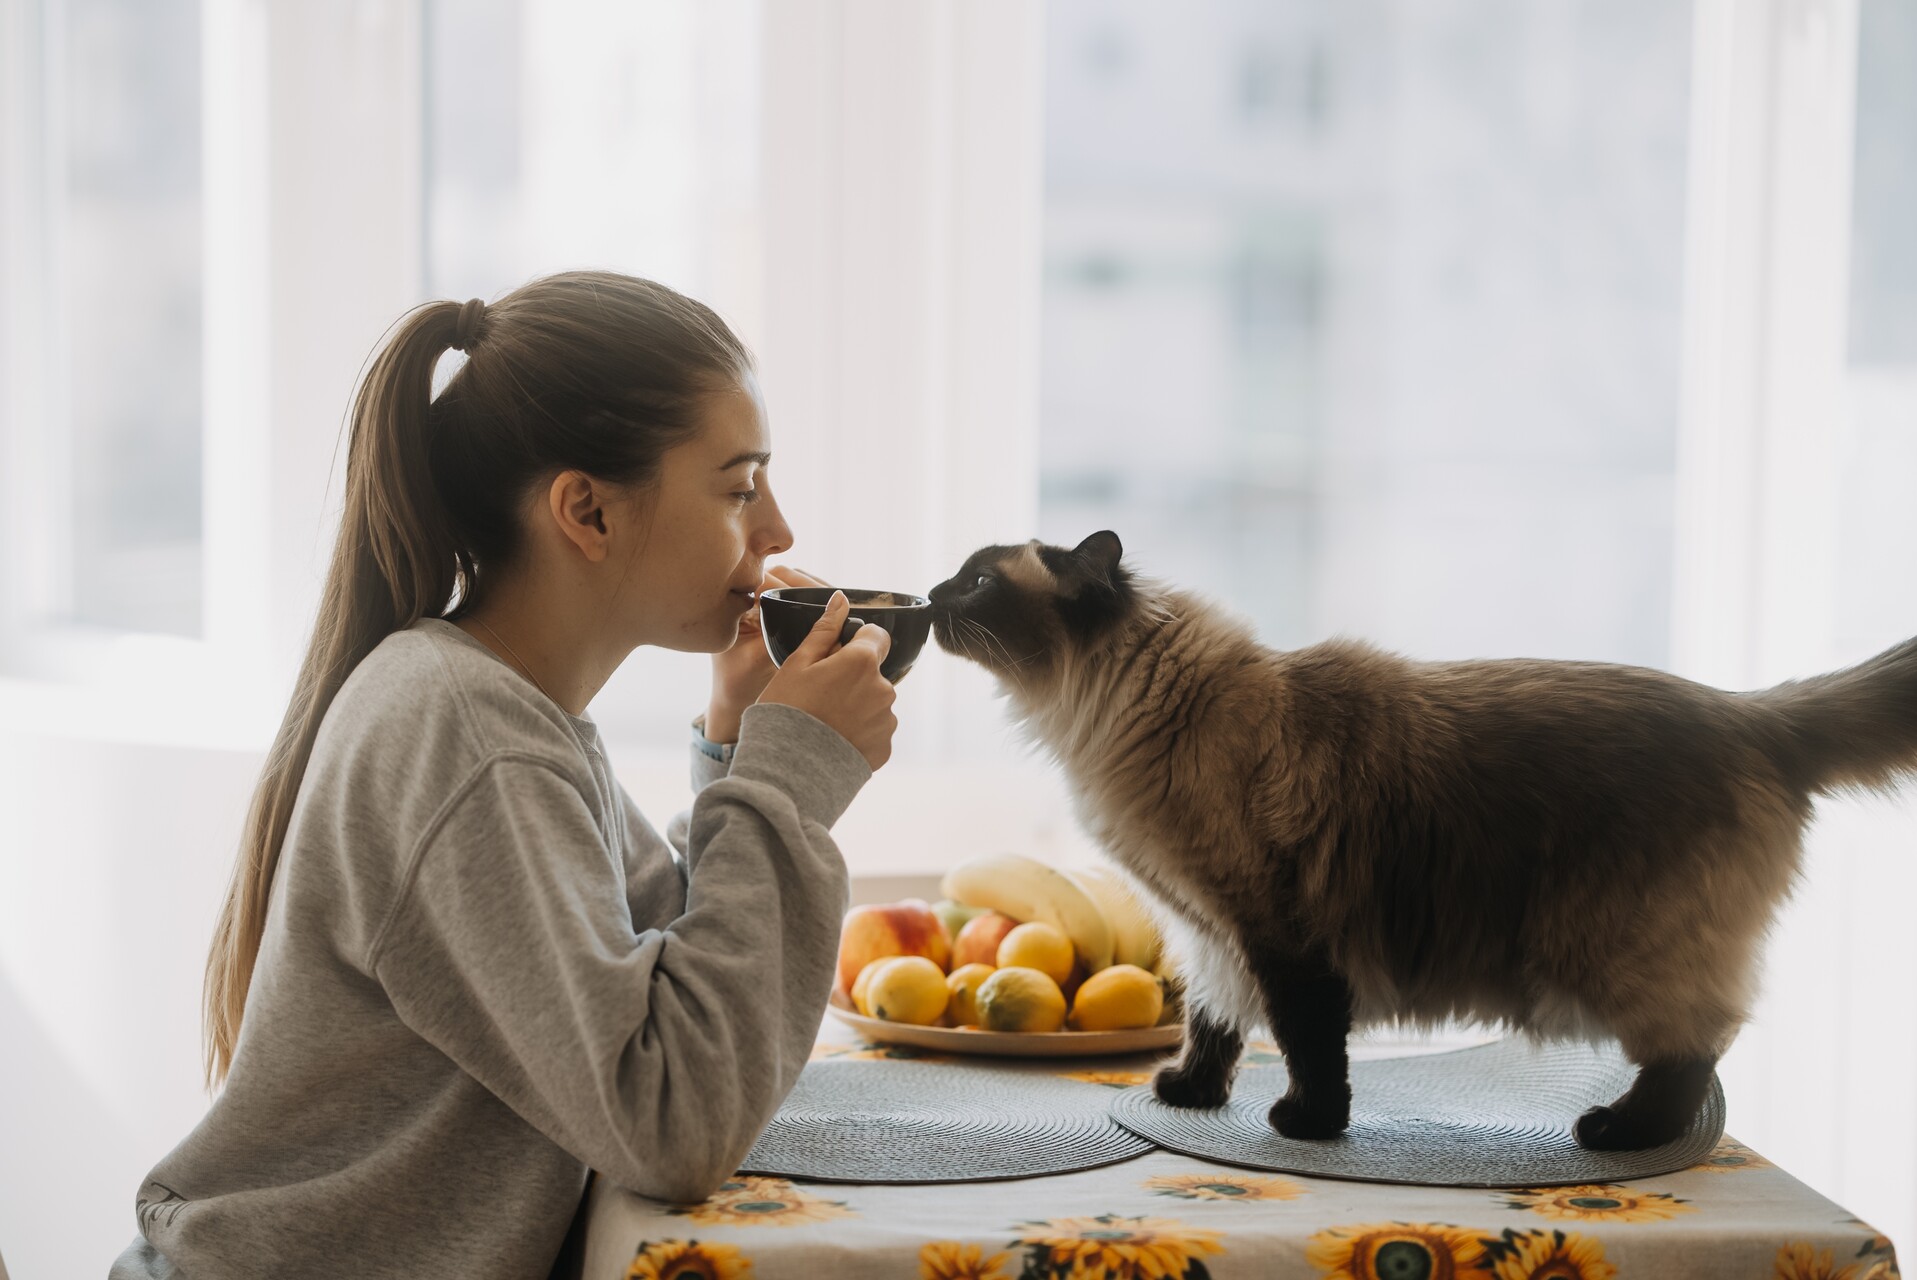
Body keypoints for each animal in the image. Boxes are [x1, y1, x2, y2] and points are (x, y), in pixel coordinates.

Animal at [927, 528, 1917, 1149]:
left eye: (977, 583)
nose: (930, 593)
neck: (1111, 712)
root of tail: (1751, 713)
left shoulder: (1273, 927)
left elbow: (1306, 1038)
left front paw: (1307, 1126)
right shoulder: (1206, 926)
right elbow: (1214, 1022)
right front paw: (1189, 1095)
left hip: (1616, 945)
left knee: (1696, 1045)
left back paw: (1616, 1134)